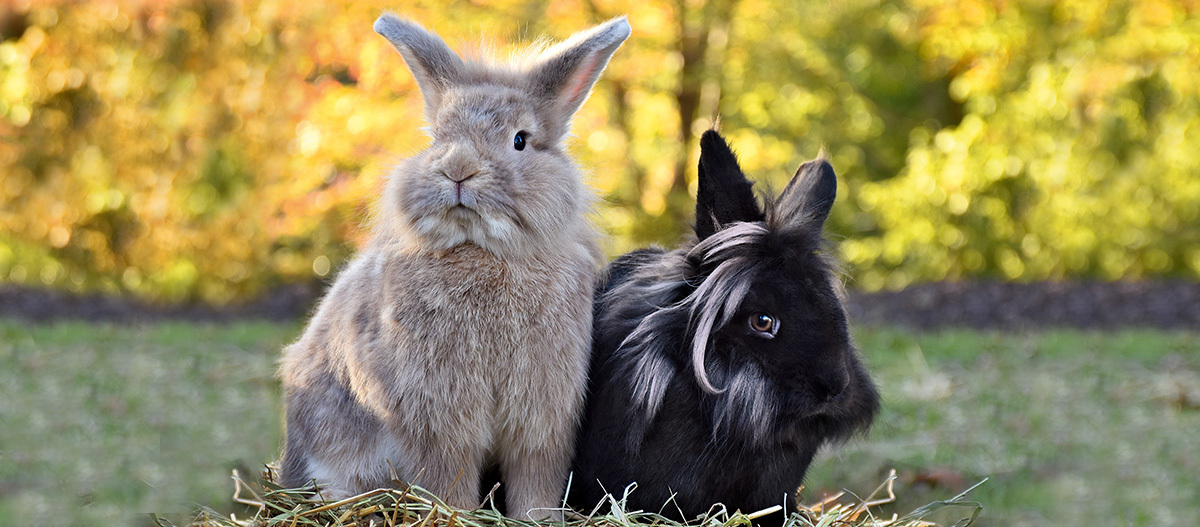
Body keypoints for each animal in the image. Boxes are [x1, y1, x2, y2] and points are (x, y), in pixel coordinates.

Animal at [276, 13, 631, 521]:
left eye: (520, 140)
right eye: (438, 138)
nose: (458, 169)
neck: (482, 251)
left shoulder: (543, 417)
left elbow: (535, 476)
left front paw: (537, 519)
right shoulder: (439, 420)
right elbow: (451, 475)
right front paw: (457, 517)